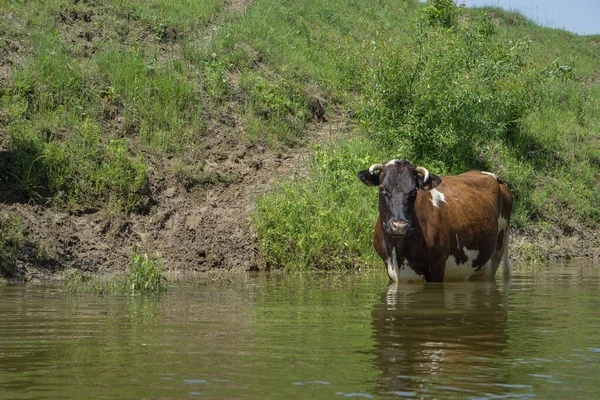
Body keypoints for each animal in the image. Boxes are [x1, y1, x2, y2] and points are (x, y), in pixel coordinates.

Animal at [358, 158, 512, 282]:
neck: (399, 250)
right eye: (382, 189)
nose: (400, 226)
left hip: (496, 253)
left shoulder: (436, 268)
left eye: (414, 191)